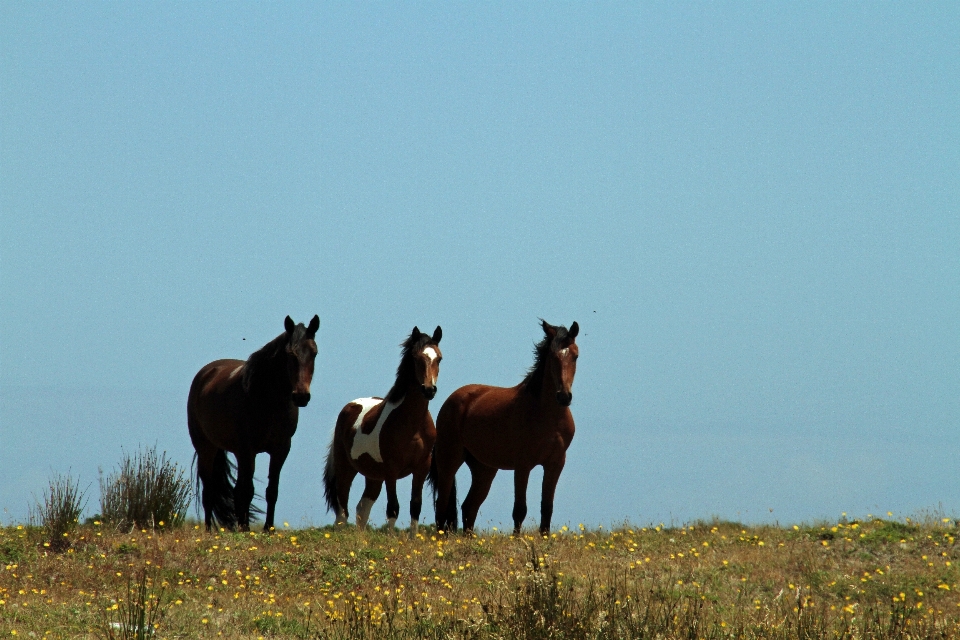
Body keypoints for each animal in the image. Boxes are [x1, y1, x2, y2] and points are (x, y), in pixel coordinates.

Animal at [188, 314, 318, 528]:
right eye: (290, 354)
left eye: (314, 353)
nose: (301, 396)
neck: (267, 400)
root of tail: (206, 373)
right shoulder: (248, 450)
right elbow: (248, 491)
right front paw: (246, 528)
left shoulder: (281, 449)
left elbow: (271, 491)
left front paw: (268, 528)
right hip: (206, 447)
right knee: (210, 491)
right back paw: (209, 529)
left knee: (235, 489)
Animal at [322, 324, 442, 536]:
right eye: (416, 358)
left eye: (439, 358)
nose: (429, 389)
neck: (413, 426)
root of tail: (349, 407)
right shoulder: (391, 471)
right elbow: (393, 507)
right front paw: (391, 538)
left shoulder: (421, 468)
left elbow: (415, 506)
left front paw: (412, 538)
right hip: (346, 469)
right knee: (342, 510)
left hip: (373, 476)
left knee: (362, 508)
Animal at [430, 320, 576, 536]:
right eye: (553, 356)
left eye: (575, 355)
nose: (564, 396)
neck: (548, 416)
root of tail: (451, 400)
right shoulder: (523, 465)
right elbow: (520, 509)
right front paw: (518, 540)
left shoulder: (555, 463)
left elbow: (547, 507)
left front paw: (545, 538)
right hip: (449, 459)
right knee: (442, 504)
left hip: (484, 469)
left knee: (469, 507)